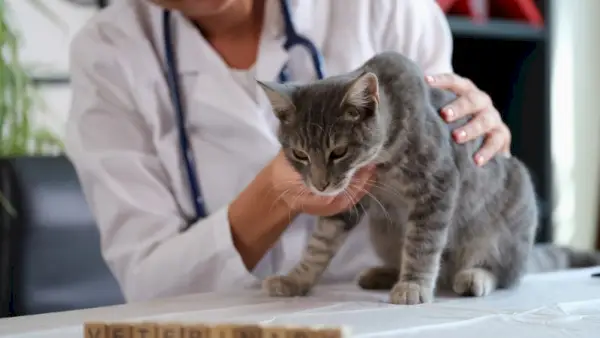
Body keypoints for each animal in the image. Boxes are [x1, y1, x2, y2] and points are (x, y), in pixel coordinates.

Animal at [258, 51, 600, 304]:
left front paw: (414, 285)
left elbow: (422, 244)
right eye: (299, 154)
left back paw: (475, 276)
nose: (320, 184)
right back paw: (383, 274)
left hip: (507, 223)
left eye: (338, 152)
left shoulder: (438, 185)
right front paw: (295, 279)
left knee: (504, 273)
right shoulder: (349, 200)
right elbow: (319, 244)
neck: (383, 162)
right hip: (383, 232)